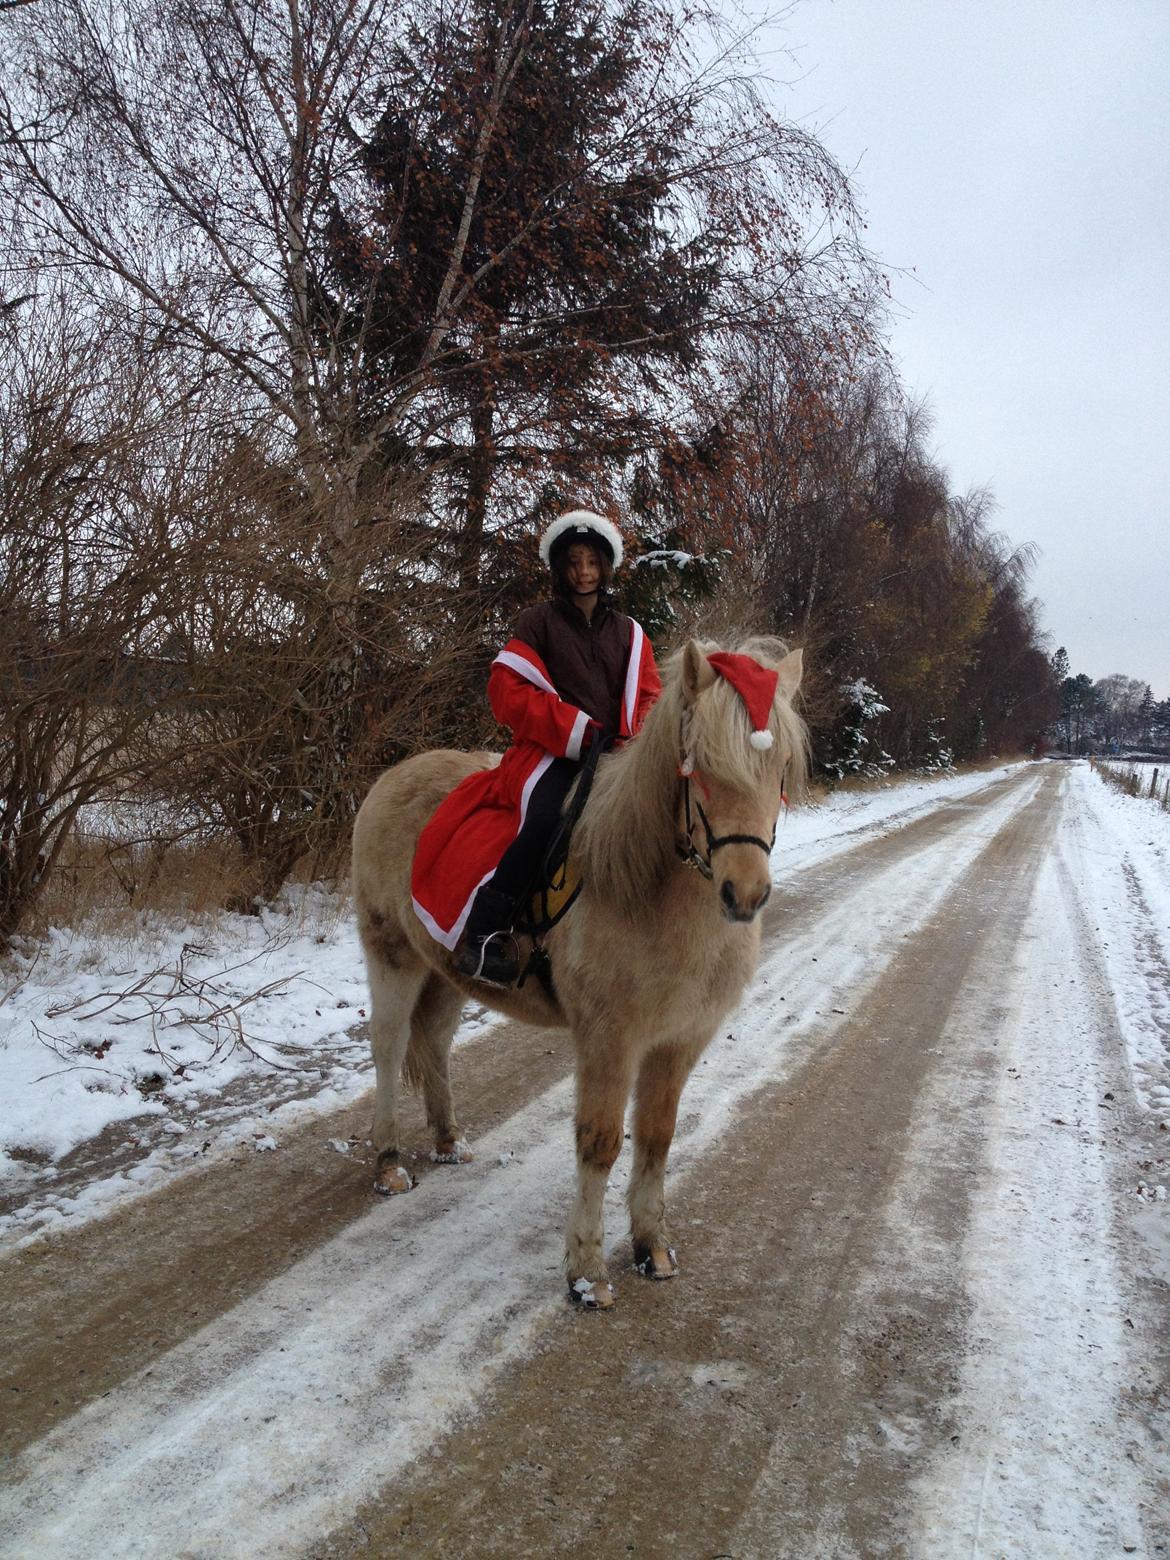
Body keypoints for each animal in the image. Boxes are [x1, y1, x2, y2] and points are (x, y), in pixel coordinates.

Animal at [347, 633, 804, 1304]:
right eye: (699, 766)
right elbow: (601, 1141)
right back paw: (387, 1163)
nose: (744, 895)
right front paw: (587, 1272)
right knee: (387, 1045)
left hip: (450, 971)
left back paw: (449, 1141)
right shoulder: (609, 1038)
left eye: (780, 770)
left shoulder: (680, 1040)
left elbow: (657, 1135)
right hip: (393, 956)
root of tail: (392, 777)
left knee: (432, 1039)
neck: (648, 890)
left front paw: (652, 1247)